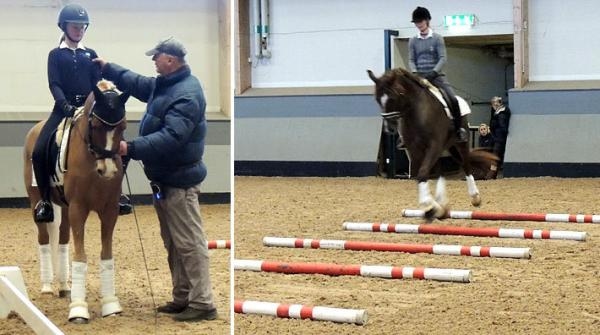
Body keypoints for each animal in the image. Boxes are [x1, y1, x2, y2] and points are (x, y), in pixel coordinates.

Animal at [23, 80, 129, 322]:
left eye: (123, 127)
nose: (108, 171)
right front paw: (78, 309)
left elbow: (106, 255)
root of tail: (35, 129)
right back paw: (47, 286)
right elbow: (80, 256)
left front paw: (111, 304)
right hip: (37, 201)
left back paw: (64, 286)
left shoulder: (109, 211)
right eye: (96, 126)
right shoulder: (79, 208)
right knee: (44, 239)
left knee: (62, 239)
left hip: (64, 207)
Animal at [368, 68, 500, 222]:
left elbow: (422, 173)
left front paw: (430, 206)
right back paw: (441, 202)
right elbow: (420, 175)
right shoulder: (414, 150)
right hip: (445, 147)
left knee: (466, 165)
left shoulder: (434, 145)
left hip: (460, 143)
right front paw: (433, 207)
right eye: (377, 99)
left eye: (396, 95)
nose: (389, 128)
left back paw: (475, 197)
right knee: (440, 171)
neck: (416, 113)